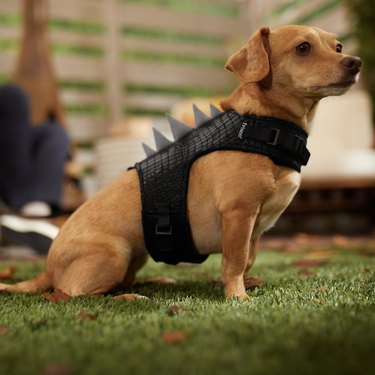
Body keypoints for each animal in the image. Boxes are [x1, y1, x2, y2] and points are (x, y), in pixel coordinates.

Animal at [1, 25, 362, 300]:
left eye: (338, 46)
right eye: (303, 48)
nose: (356, 62)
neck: (264, 126)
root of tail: (47, 268)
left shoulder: (255, 228)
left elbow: (248, 259)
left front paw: (245, 284)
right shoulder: (238, 214)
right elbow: (235, 261)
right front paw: (237, 296)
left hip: (137, 255)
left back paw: (154, 281)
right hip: (115, 254)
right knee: (72, 295)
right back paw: (128, 298)